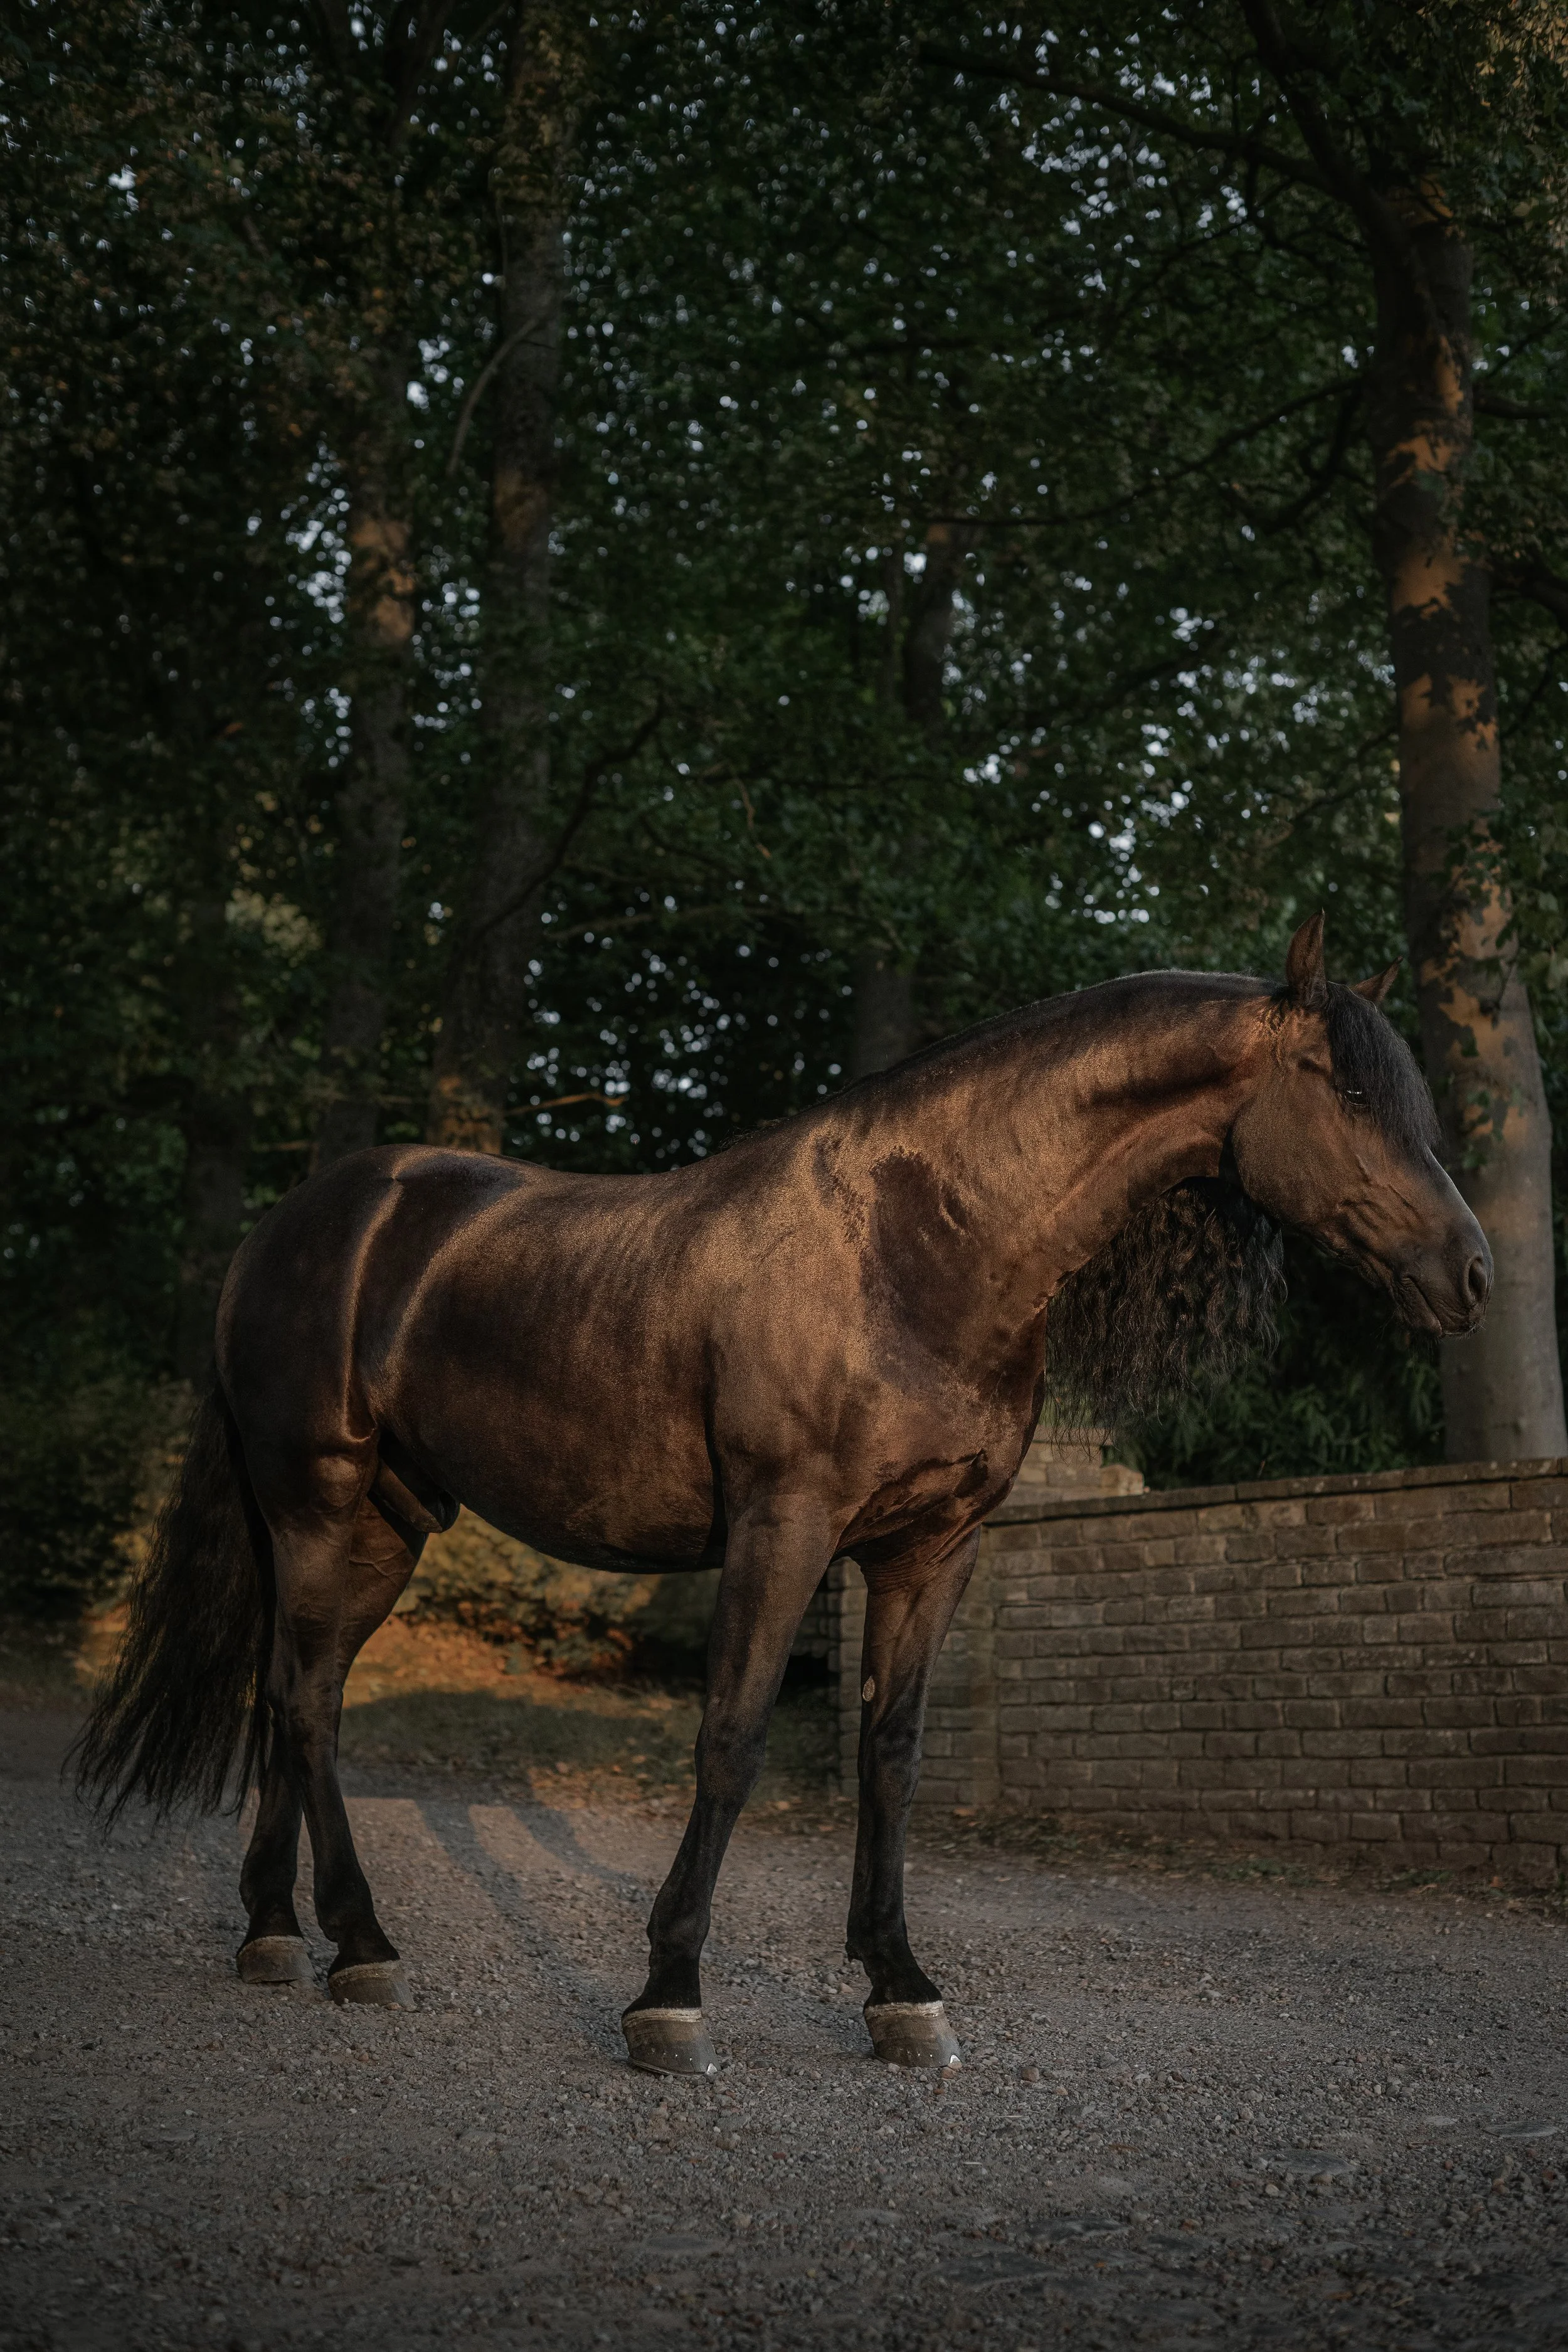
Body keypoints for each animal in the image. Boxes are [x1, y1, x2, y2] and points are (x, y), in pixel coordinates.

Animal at [78, 914, 1490, 2074]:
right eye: (1345, 1088)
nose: (1469, 1273)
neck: (918, 1244)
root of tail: (294, 1228)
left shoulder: (933, 1549)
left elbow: (891, 1753)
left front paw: (901, 1991)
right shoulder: (783, 1528)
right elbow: (732, 1740)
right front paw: (669, 1997)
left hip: (378, 1530)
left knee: (287, 1693)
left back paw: (276, 1934)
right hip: (318, 1507)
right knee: (310, 1705)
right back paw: (363, 1947)